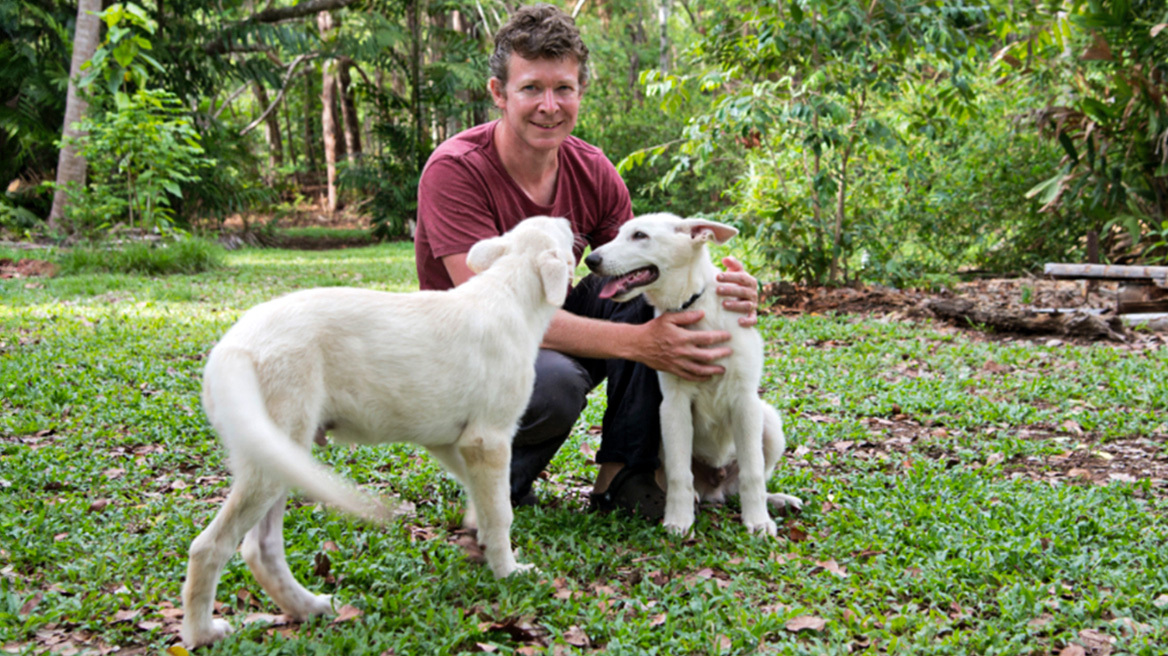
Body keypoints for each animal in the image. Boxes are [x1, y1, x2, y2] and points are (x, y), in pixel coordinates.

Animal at [177, 214, 574, 644]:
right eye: (563, 231)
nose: (569, 219)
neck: (509, 289)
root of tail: (231, 347)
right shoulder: (488, 440)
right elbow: (501, 512)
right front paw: (508, 572)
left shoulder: (449, 441)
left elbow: (481, 496)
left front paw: (476, 527)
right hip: (271, 459)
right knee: (210, 546)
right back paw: (202, 632)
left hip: (279, 454)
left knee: (260, 548)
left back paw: (309, 607)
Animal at [584, 212, 803, 534]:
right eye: (617, 234)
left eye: (639, 235)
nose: (591, 260)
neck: (691, 306)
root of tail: (716, 487)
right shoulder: (674, 404)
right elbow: (679, 474)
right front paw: (678, 519)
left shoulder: (746, 401)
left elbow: (752, 472)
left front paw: (758, 521)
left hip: (769, 422)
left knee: (746, 481)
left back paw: (775, 500)